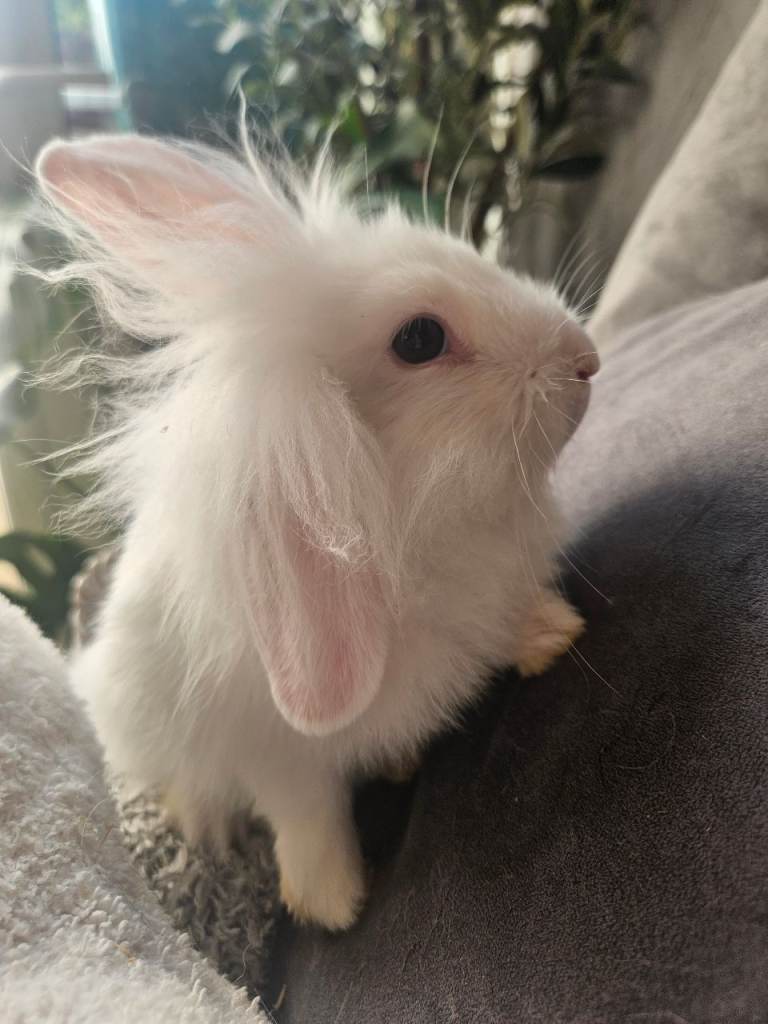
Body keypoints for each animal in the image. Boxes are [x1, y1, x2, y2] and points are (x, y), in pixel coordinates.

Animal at [35, 132, 598, 931]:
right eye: (420, 338)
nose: (586, 358)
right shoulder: (275, 754)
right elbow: (307, 815)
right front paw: (331, 903)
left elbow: (503, 625)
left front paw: (551, 633)